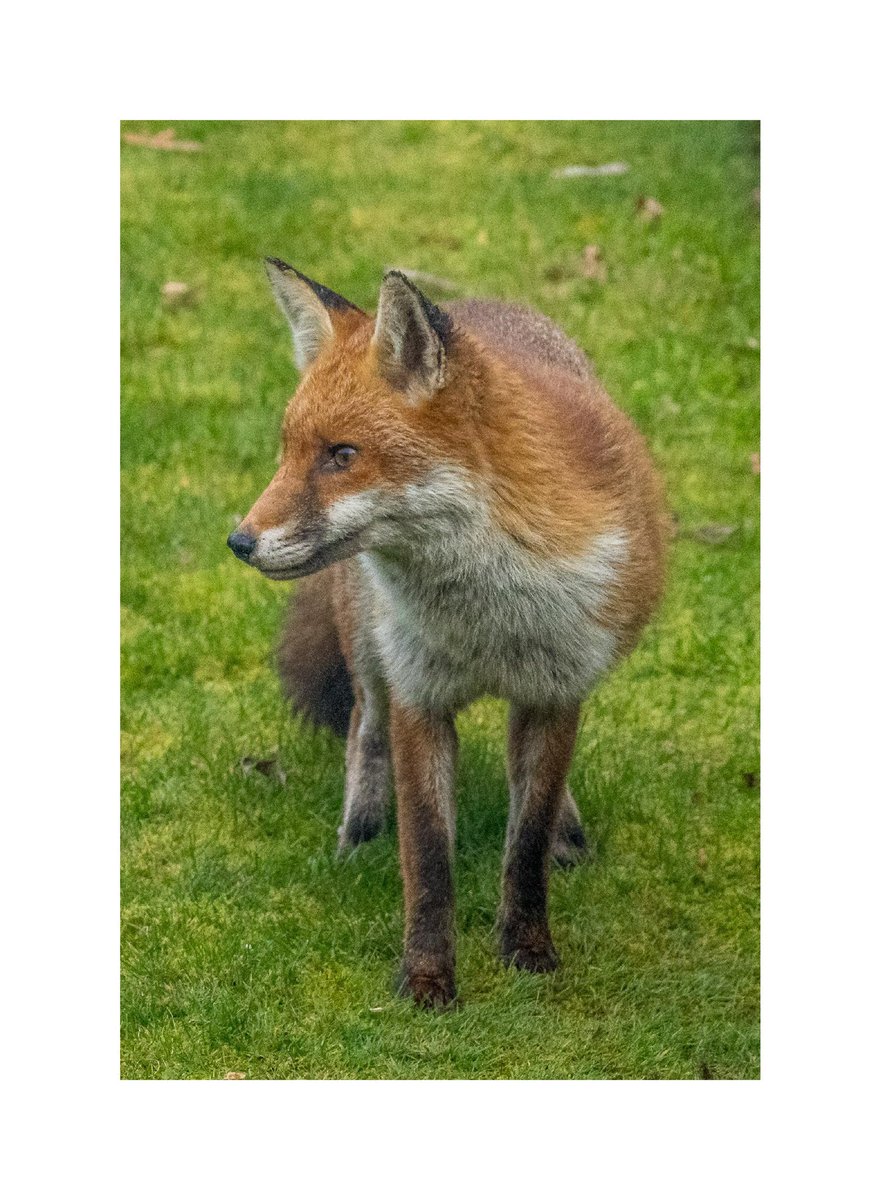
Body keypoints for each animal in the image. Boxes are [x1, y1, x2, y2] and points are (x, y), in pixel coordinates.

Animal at [228, 258, 667, 1008]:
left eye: (341, 454)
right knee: (363, 729)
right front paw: (427, 979)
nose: (240, 542)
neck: (489, 616)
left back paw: (567, 831)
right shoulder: (419, 696)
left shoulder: (557, 690)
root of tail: (479, 302)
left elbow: (526, 841)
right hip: (370, 656)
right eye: (287, 452)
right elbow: (428, 857)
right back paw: (358, 836)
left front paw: (528, 949)